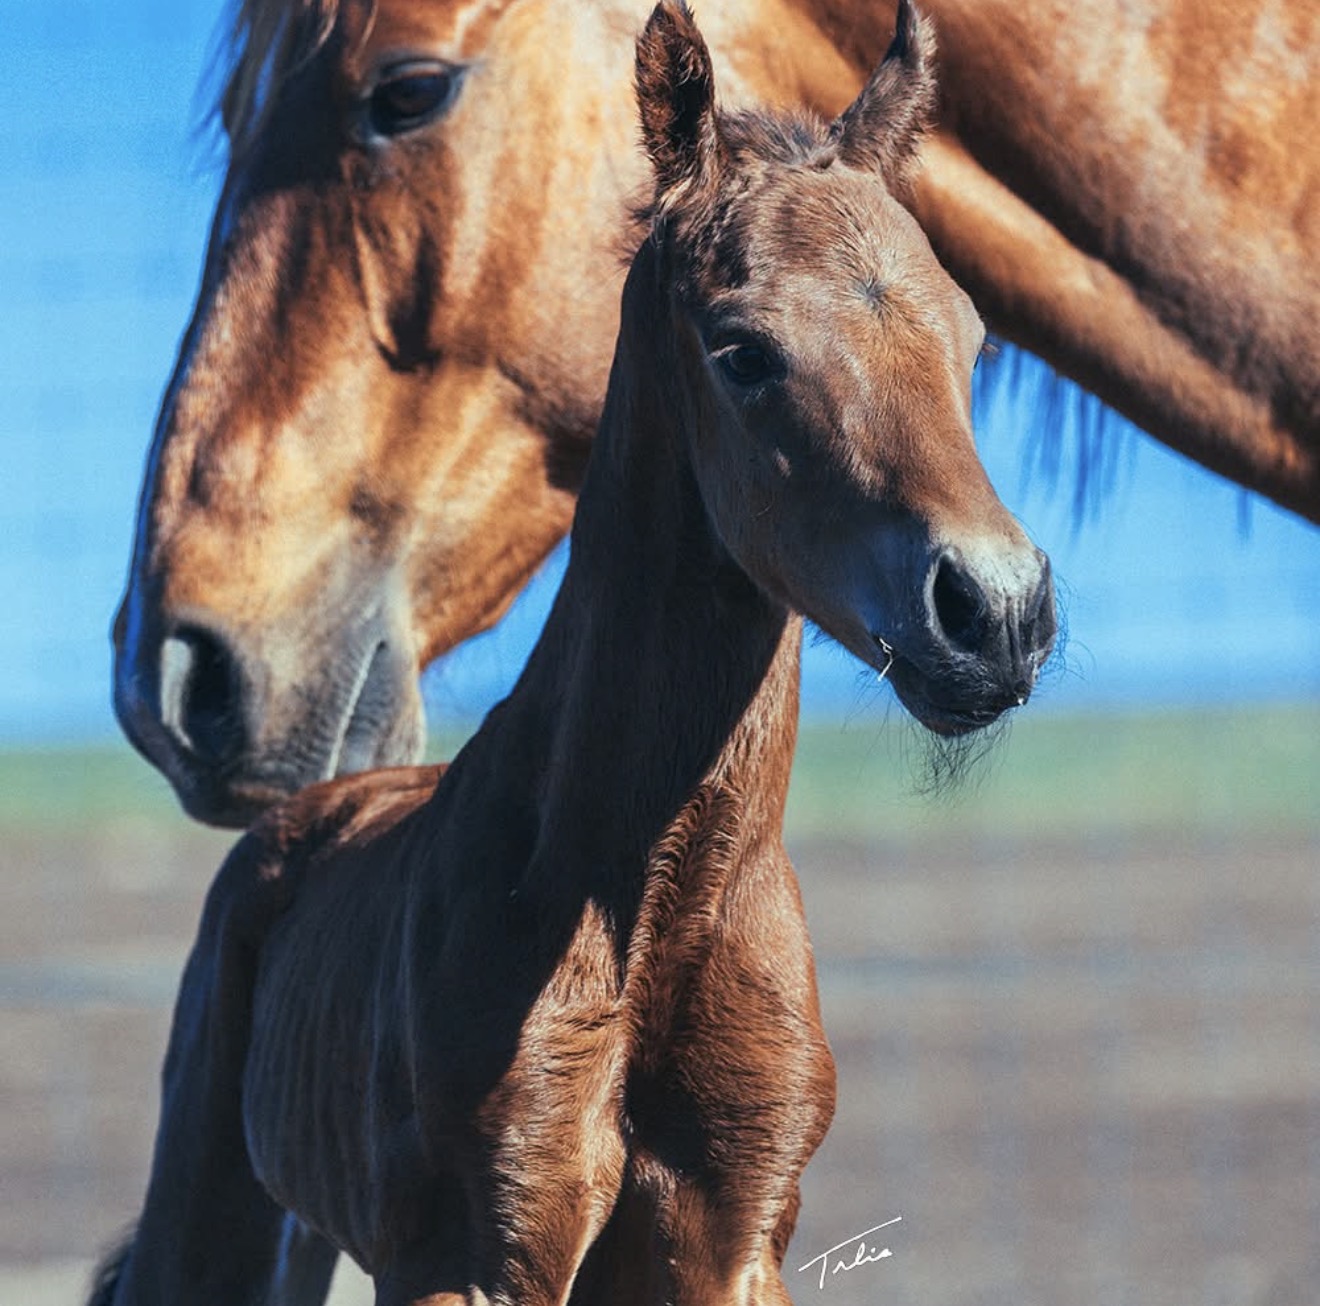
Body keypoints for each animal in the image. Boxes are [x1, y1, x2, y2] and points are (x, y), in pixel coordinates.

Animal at [91, 4, 1055, 1302]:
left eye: (976, 339)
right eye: (742, 351)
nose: (993, 610)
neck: (651, 914)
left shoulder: (734, 1239)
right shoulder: (477, 1253)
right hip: (215, 1206)